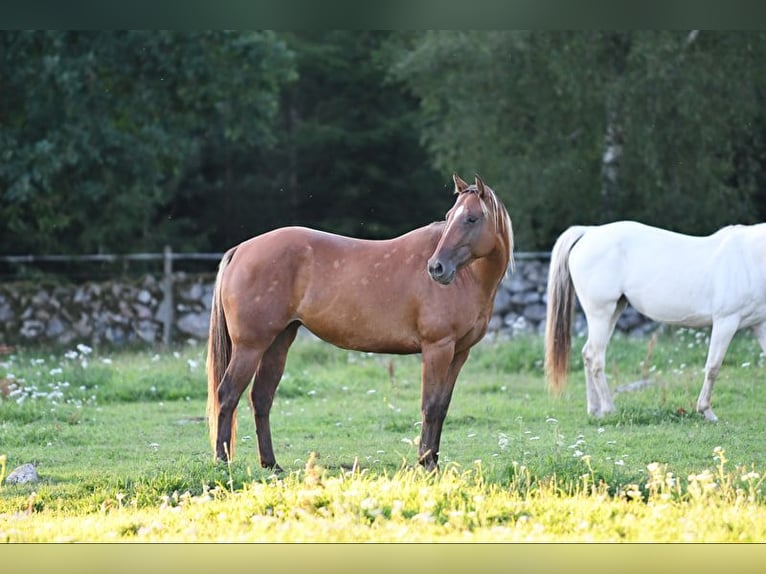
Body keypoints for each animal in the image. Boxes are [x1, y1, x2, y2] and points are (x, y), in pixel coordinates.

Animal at [206, 174, 514, 472]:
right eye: (449, 216)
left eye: (471, 218)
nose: (436, 268)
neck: (468, 277)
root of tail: (242, 249)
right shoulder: (437, 349)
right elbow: (430, 405)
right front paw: (426, 463)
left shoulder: (459, 353)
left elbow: (442, 407)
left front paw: (433, 461)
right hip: (250, 346)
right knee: (227, 394)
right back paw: (222, 462)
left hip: (278, 343)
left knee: (261, 397)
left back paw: (271, 464)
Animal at [545, 220, 766, 422]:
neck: (750, 259)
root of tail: (589, 232)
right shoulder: (725, 322)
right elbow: (713, 367)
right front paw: (706, 411)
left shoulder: (760, 325)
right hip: (601, 313)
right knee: (595, 357)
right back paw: (608, 409)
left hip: (614, 311)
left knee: (587, 354)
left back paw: (594, 410)